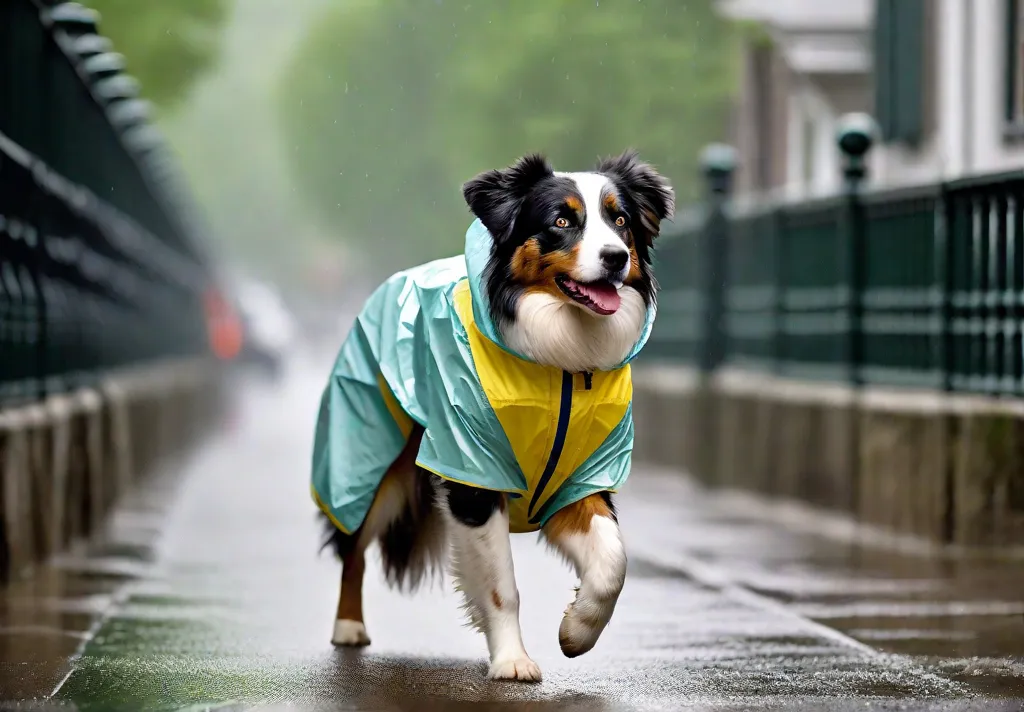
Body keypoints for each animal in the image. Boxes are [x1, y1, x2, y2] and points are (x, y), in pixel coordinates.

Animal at [315, 148, 675, 680]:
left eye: (620, 220)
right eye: (561, 220)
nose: (616, 257)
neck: (560, 363)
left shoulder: (581, 479)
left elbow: (613, 562)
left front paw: (577, 631)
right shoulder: (474, 477)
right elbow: (502, 586)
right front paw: (512, 661)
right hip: (367, 460)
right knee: (353, 546)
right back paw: (348, 627)